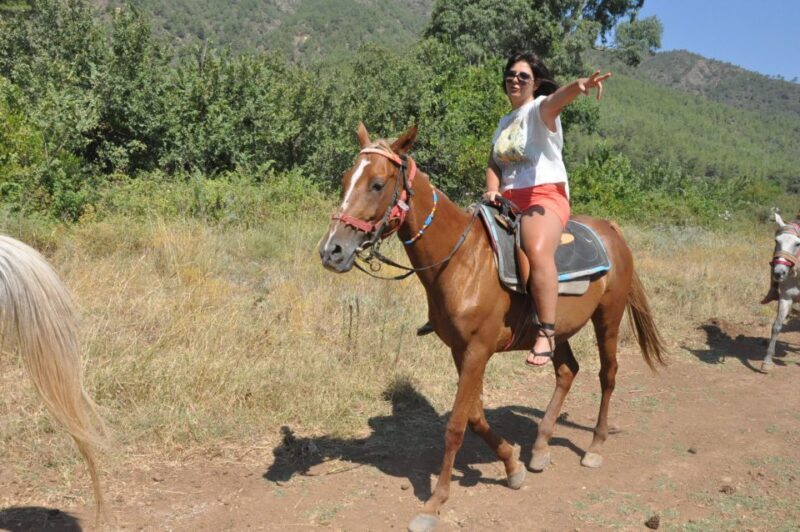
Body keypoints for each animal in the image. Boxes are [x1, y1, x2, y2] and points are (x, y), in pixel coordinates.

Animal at [319, 123, 666, 532]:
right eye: (345, 180)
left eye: (376, 184)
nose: (332, 251)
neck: (461, 259)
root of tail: (611, 230)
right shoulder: (460, 351)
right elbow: (475, 416)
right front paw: (513, 466)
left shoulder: (477, 351)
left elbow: (456, 425)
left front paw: (434, 503)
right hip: (555, 332)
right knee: (567, 371)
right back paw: (540, 448)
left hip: (608, 318)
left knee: (608, 374)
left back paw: (595, 447)